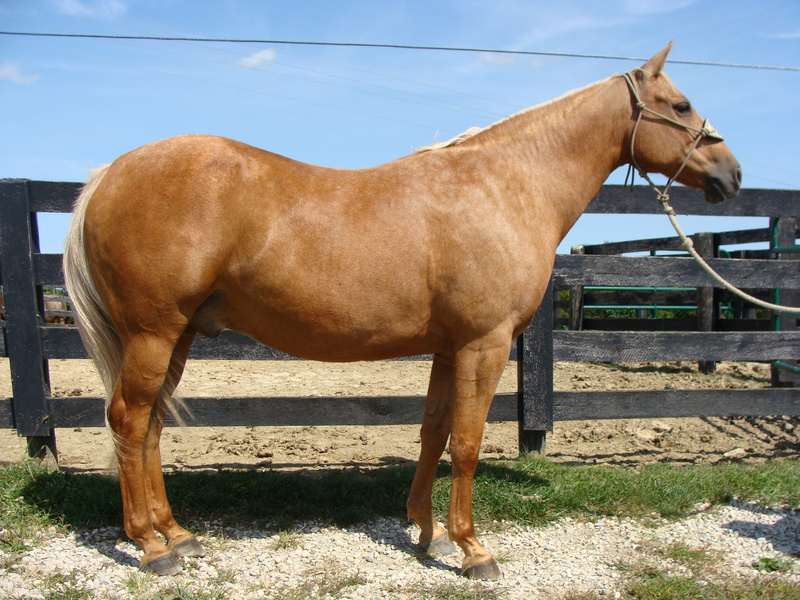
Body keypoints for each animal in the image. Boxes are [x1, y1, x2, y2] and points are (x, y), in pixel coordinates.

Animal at [63, 43, 740, 579]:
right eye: (682, 106)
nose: (733, 174)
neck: (503, 186)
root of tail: (109, 174)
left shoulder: (448, 346)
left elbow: (433, 433)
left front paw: (426, 533)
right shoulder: (485, 344)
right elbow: (467, 443)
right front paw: (473, 550)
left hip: (174, 337)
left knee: (150, 425)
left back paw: (177, 534)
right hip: (153, 334)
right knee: (128, 420)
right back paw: (151, 547)